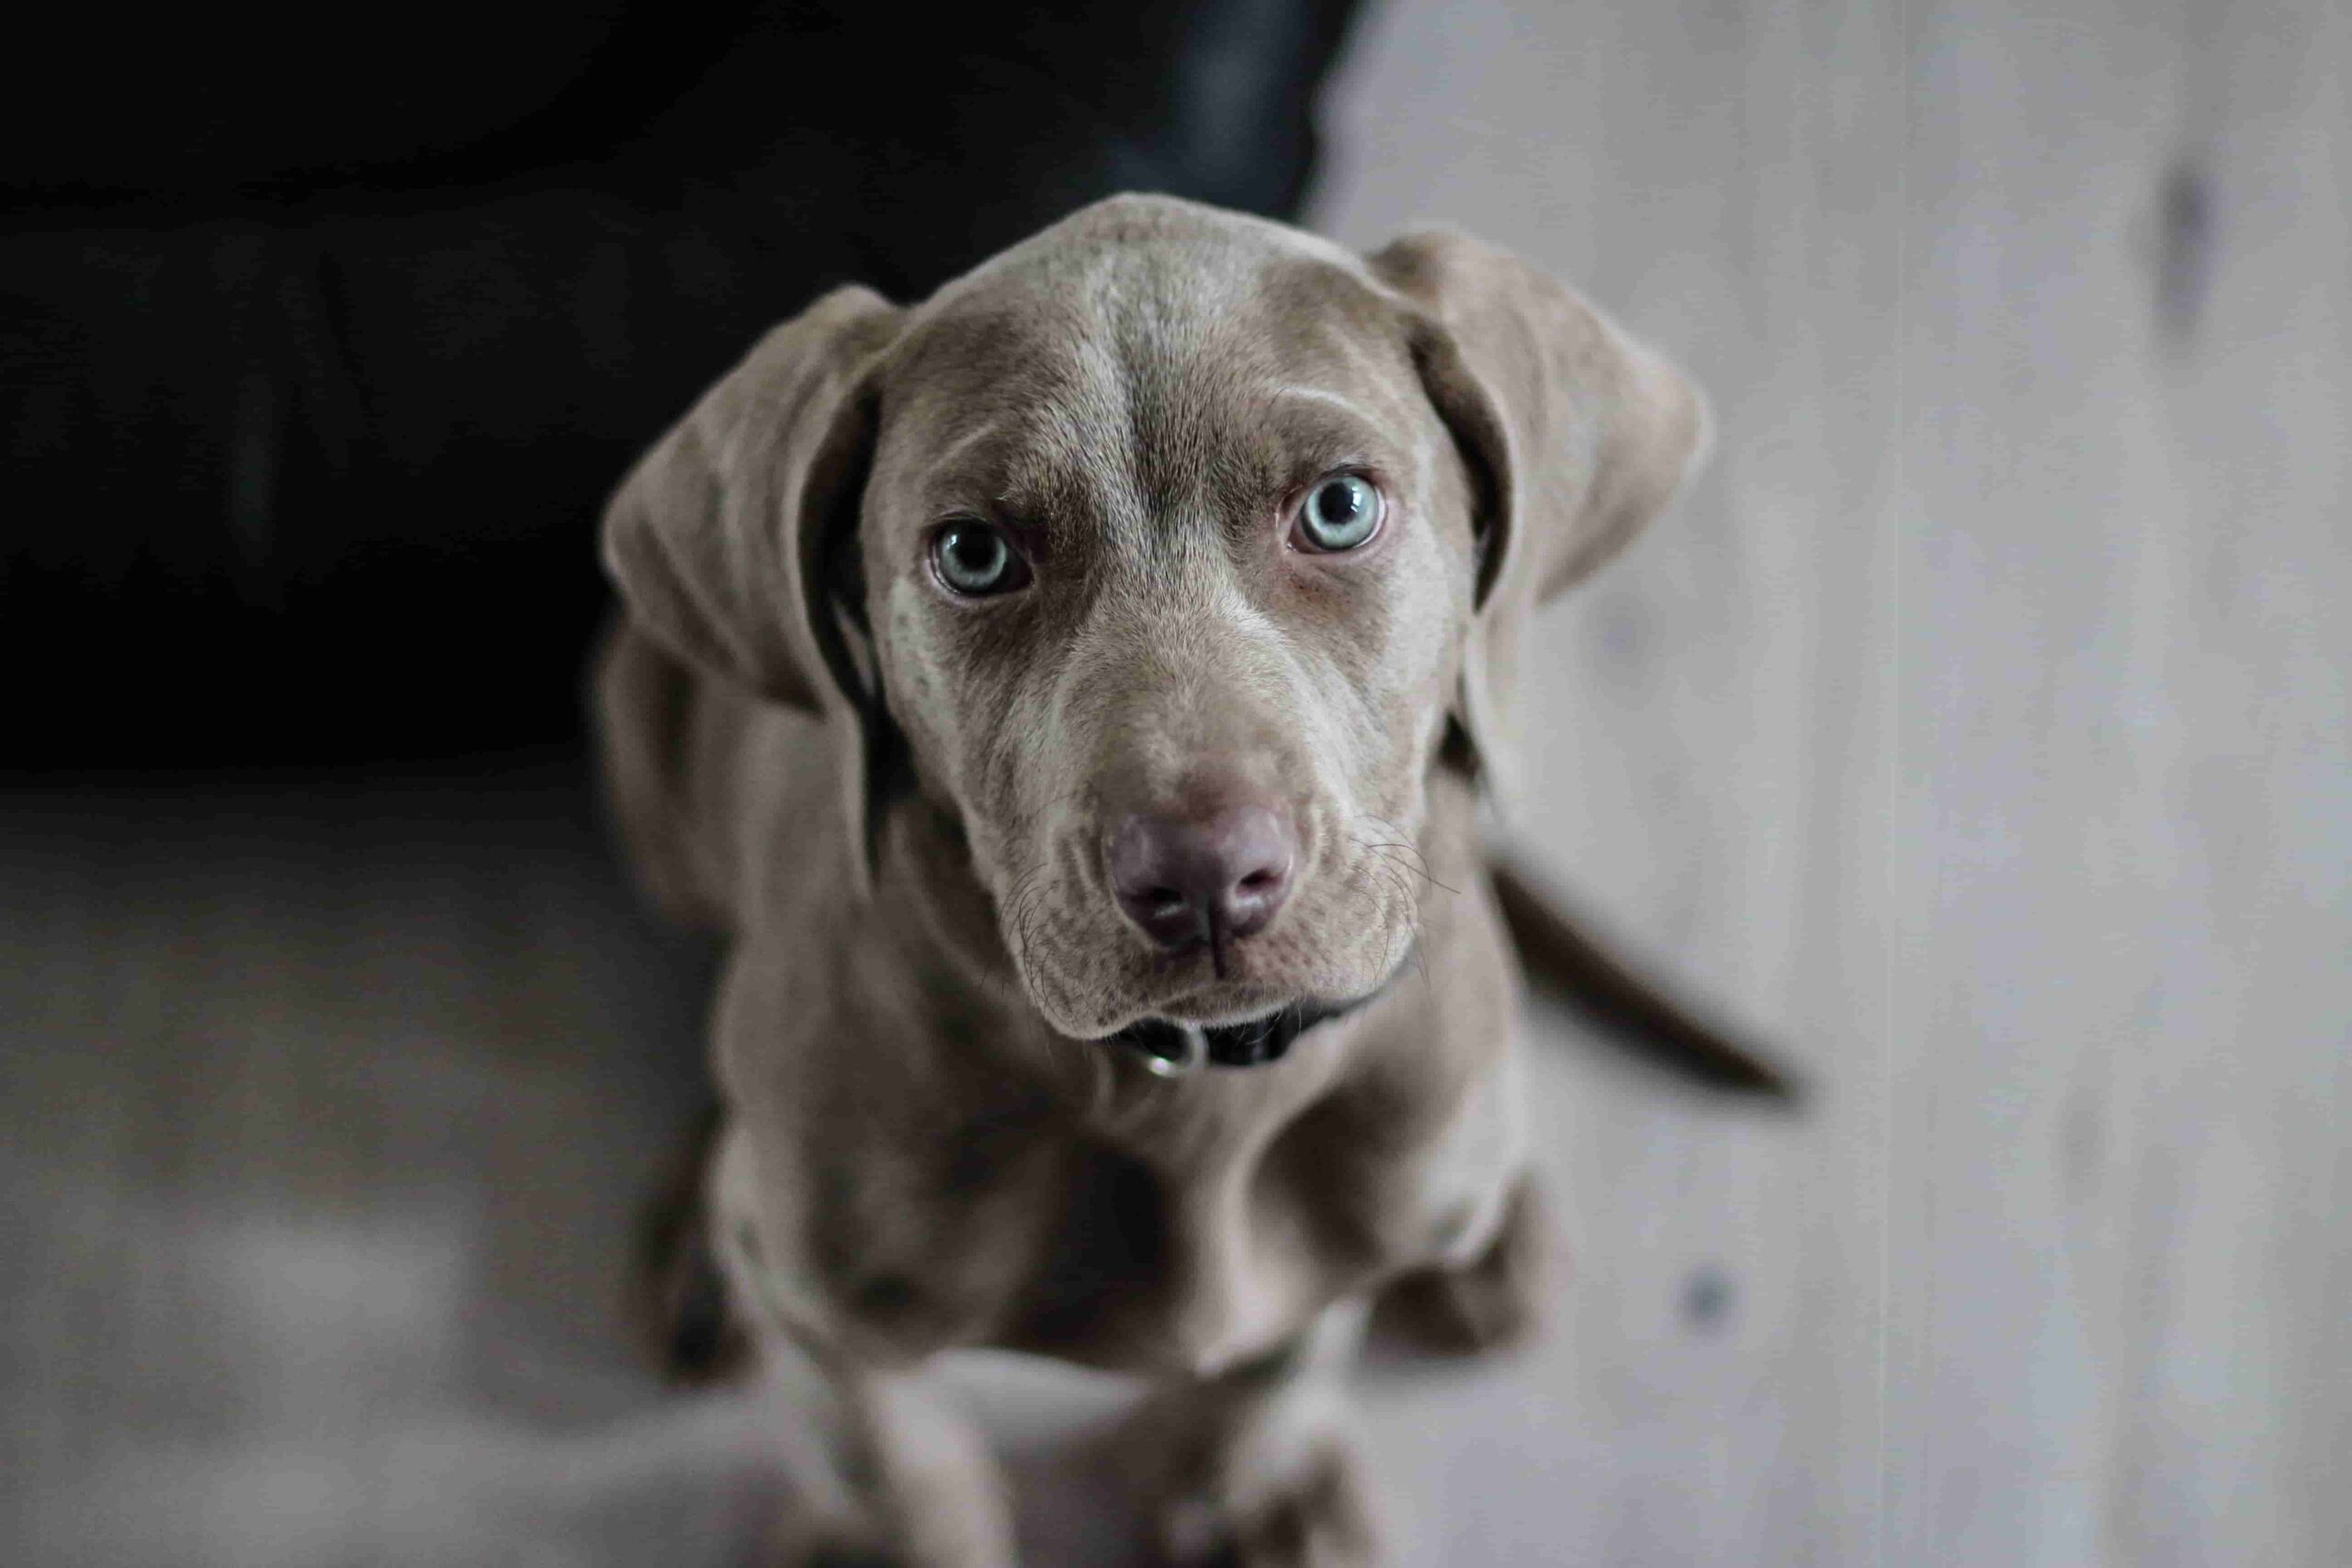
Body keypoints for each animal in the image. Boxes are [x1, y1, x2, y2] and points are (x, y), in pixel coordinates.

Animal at [593, 190, 1778, 1561]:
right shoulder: (829, 1313)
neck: (1190, 1093)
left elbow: (1288, 1347)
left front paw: (1254, 1487)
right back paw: (698, 1243)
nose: (1206, 877)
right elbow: (882, 1449)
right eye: (973, 553)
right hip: (640, 729)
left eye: (1338, 507)